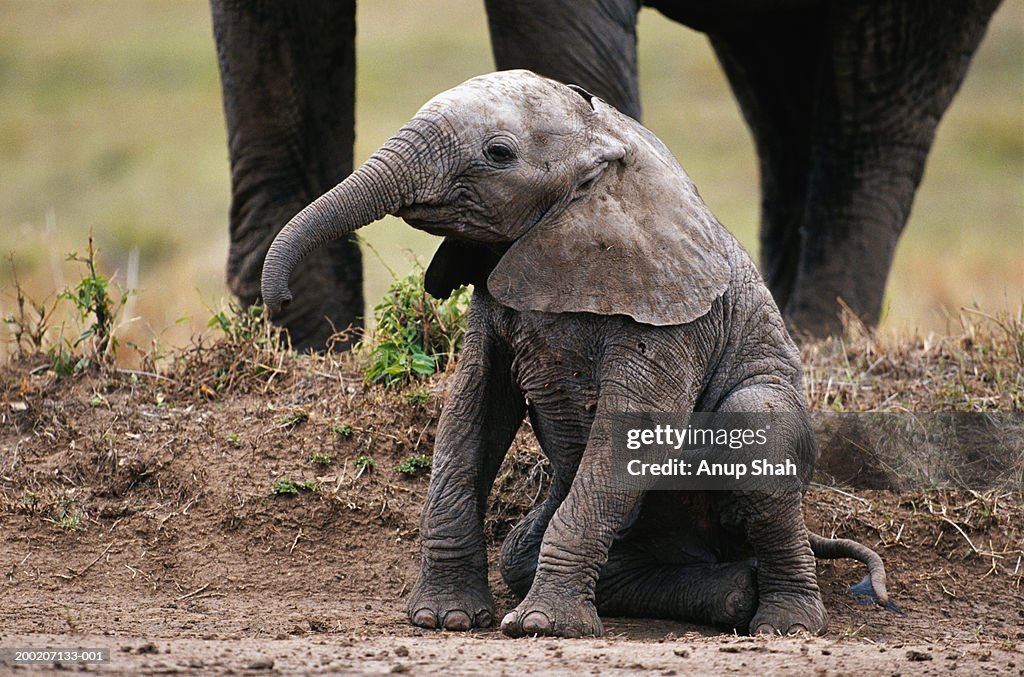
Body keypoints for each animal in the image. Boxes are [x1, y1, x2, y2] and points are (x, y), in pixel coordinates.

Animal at [262, 68, 888, 635]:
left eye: (498, 153)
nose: (279, 300)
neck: (604, 144)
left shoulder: (673, 315)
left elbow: (629, 435)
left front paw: (541, 626)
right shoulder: (495, 291)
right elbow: (471, 414)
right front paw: (445, 620)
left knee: (754, 423)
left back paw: (785, 624)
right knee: (523, 553)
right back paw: (733, 596)